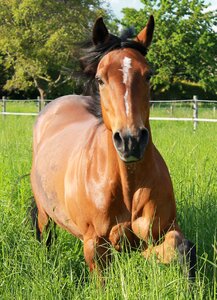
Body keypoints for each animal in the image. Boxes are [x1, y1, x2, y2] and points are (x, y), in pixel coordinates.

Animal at [31, 15, 197, 278]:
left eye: (148, 75)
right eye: (100, 79)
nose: (131, 141)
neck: (127, 188)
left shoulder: (160, 232)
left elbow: (183, 248)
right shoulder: (95, 245)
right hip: (45, 214)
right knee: (45, 237)